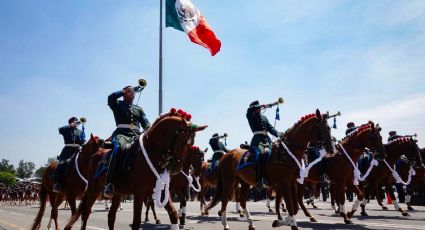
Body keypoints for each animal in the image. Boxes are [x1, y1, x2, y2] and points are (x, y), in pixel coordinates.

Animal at [63, 109, 207, 230]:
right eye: (183, 142)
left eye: (191, 144)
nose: (175, 168)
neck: (152, 151)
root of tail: (96, 154)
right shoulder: (139, 193)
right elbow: (136, 222)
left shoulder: (162, 190)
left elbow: (173, 213)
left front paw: (180, 221)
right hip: (94, 189)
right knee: (86, 212)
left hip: (117, 192)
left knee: (111, 216)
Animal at [205, 110, 334, 230]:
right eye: (322, 128)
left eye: (329, 128)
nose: (331, 150)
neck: (287, 154)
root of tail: (225, 156)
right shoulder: (284, 184)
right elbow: (290, 206)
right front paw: (289, 223)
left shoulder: (292, 183)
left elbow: (294, 207)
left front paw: (281, 221)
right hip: (228, 182)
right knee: (225, 200)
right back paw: (225, 224)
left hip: (244, 182)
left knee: (241, 201)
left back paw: (250, 222)